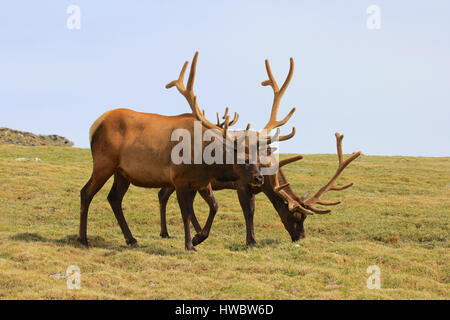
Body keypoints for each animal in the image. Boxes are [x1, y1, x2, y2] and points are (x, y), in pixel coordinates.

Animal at [79, 51, 294, 250]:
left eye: (259, 157)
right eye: (241, 157)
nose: (259, 178)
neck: (205, 161)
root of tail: (94, 125)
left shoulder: (202, 182)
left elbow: (214, 207)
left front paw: (199, 237)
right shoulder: (178, 179)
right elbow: (186, 214)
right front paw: (190, 244)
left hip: (122, 173)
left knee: (114, 198)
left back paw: (131, 239)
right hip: (104, 163)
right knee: (86, 192)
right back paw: (83, 239)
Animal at [158, 57, 362, 245]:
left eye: (305, 217)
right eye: (295, 216)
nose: (301, 237)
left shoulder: (255, 187)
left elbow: (252, 211)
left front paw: (251, 238)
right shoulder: (241, 183)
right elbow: (248, 212)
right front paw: (251, 241)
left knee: (169, 196)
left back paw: (174, 233)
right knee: (163, 194)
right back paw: (170, 233)